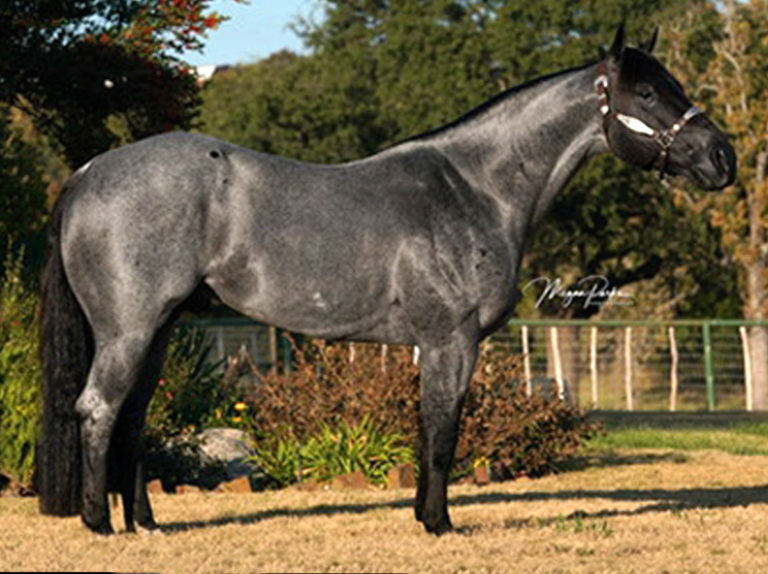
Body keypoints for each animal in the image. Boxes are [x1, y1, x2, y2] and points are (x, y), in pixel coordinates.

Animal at [38, 25, 736, 535]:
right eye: (647, 95)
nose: (721, 157)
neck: (475, 187)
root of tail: (87, 173)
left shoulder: (436, 344)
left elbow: (428, 428)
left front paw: (425, 515)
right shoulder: (453, 340)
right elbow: (445, 430)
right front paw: (439, 524)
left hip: (158, 331)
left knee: (133, 418)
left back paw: (146, 524)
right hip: (128, 332)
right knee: (98, 409)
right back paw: (100, 525)